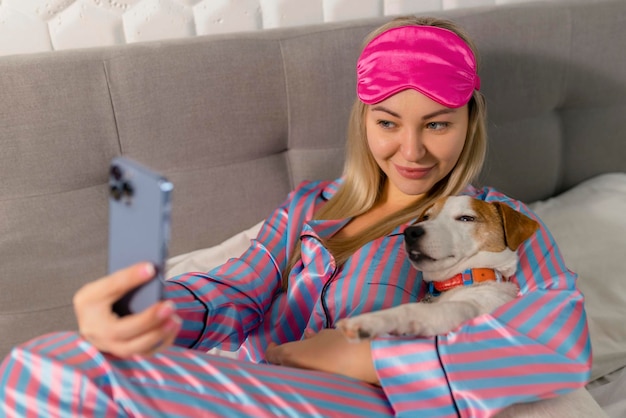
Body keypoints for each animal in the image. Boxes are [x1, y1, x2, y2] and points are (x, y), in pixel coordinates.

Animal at [336, 194, 536, 342]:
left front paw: (370, 321)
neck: (458, 280)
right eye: (426, 216)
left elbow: (412, 310)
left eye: (466, 218)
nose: (410, 232)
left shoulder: (467, 309)